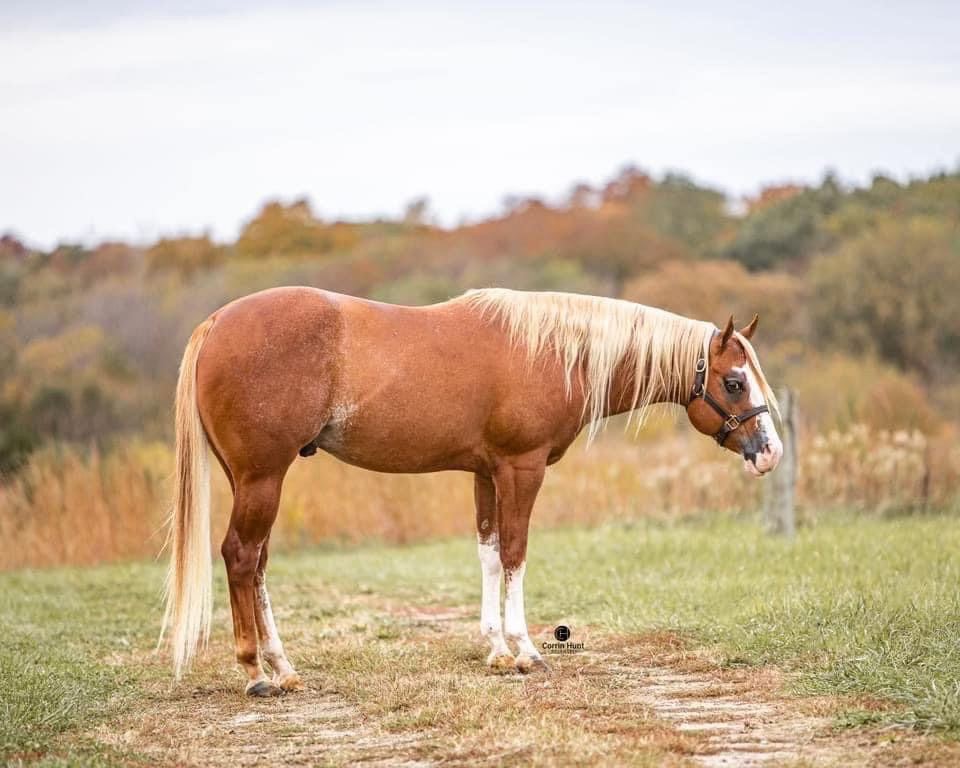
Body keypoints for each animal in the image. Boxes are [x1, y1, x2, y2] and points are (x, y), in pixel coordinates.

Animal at [159, 288, 780, 696]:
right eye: (733, 382)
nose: (769, 452)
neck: (551, 349)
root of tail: (217, 321)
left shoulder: (486, 473)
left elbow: (488, 553)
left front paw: (497, 651)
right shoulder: (522, 469)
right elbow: (516, 553)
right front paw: (526, 651)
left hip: (252, 480)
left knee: (258, 564)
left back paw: (282, 667)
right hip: (263, 478)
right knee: (241, 557)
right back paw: (255, 673)